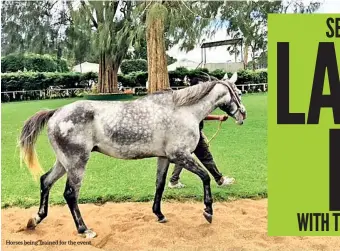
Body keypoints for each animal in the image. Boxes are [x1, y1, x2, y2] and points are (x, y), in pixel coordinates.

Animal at [19, 72, 246, 237]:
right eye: (239, 92)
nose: (243, 115)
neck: (182, 111)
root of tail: (56, 112)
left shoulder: (164, 157)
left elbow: (160, 185)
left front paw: (159, 214)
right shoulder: (179, 155)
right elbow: (206, 177)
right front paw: (208, 211)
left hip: (63, 162)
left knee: (45, 181)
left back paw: (35, 219)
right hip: (77, 163)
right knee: (70, 194)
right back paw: (84, 229)